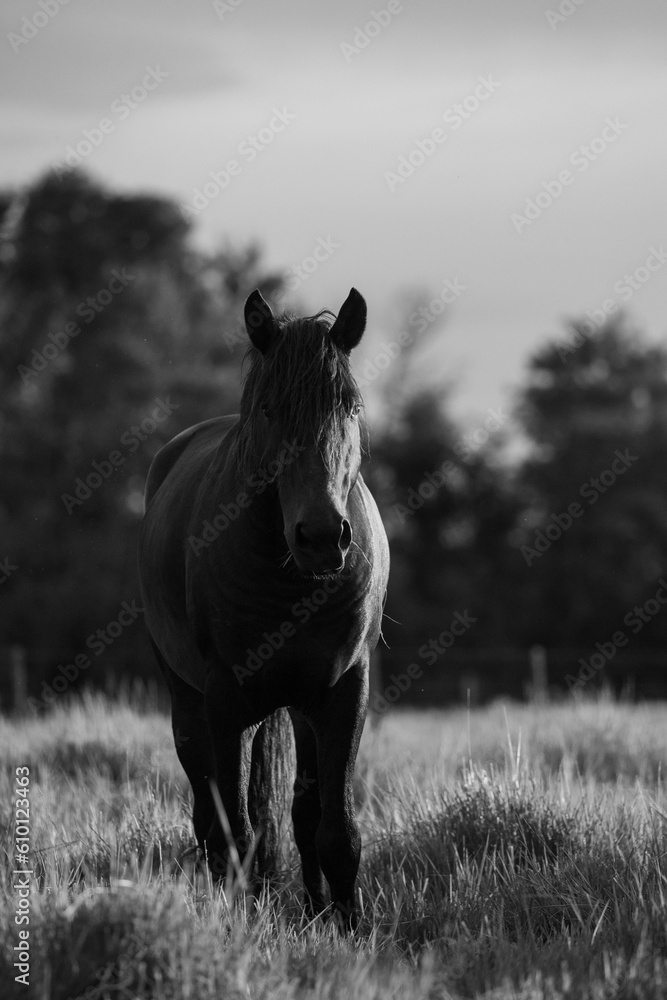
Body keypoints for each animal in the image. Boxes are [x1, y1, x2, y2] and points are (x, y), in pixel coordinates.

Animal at [138, 287, 389, 929]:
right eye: (271, 409)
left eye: (350, 407)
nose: (322, 537)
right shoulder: (226, 699)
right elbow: (236, 832)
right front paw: (244, 925)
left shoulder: (342, 694)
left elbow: (335, 831)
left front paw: (348, 930)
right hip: (189, 703)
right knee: (209, 818)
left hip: (296, 708)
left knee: (298, 819)